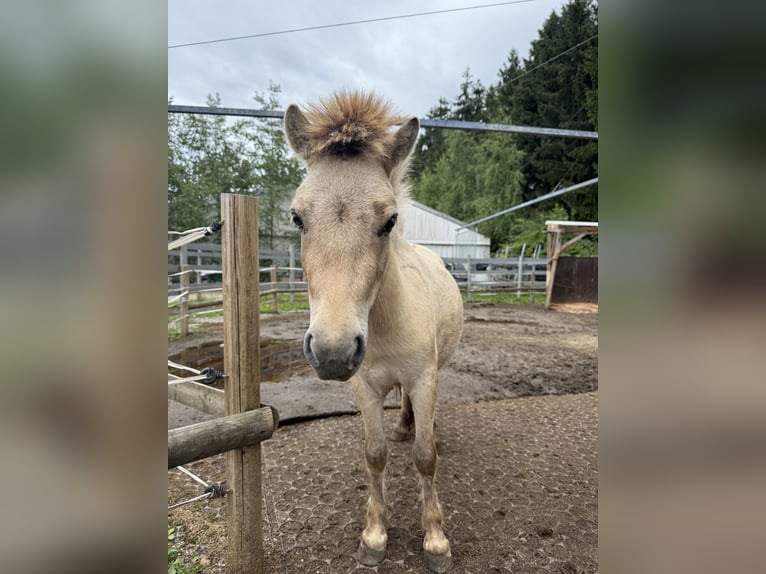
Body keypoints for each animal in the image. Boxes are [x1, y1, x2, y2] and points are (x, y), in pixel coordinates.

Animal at [284, 90, 463, 573]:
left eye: (389, 221)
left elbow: (425, 457)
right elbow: (376, 454)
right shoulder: (364, 386)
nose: (332, 351)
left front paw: (436, 541)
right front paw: (375, 535)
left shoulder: (424, 379)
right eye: (297, 218)